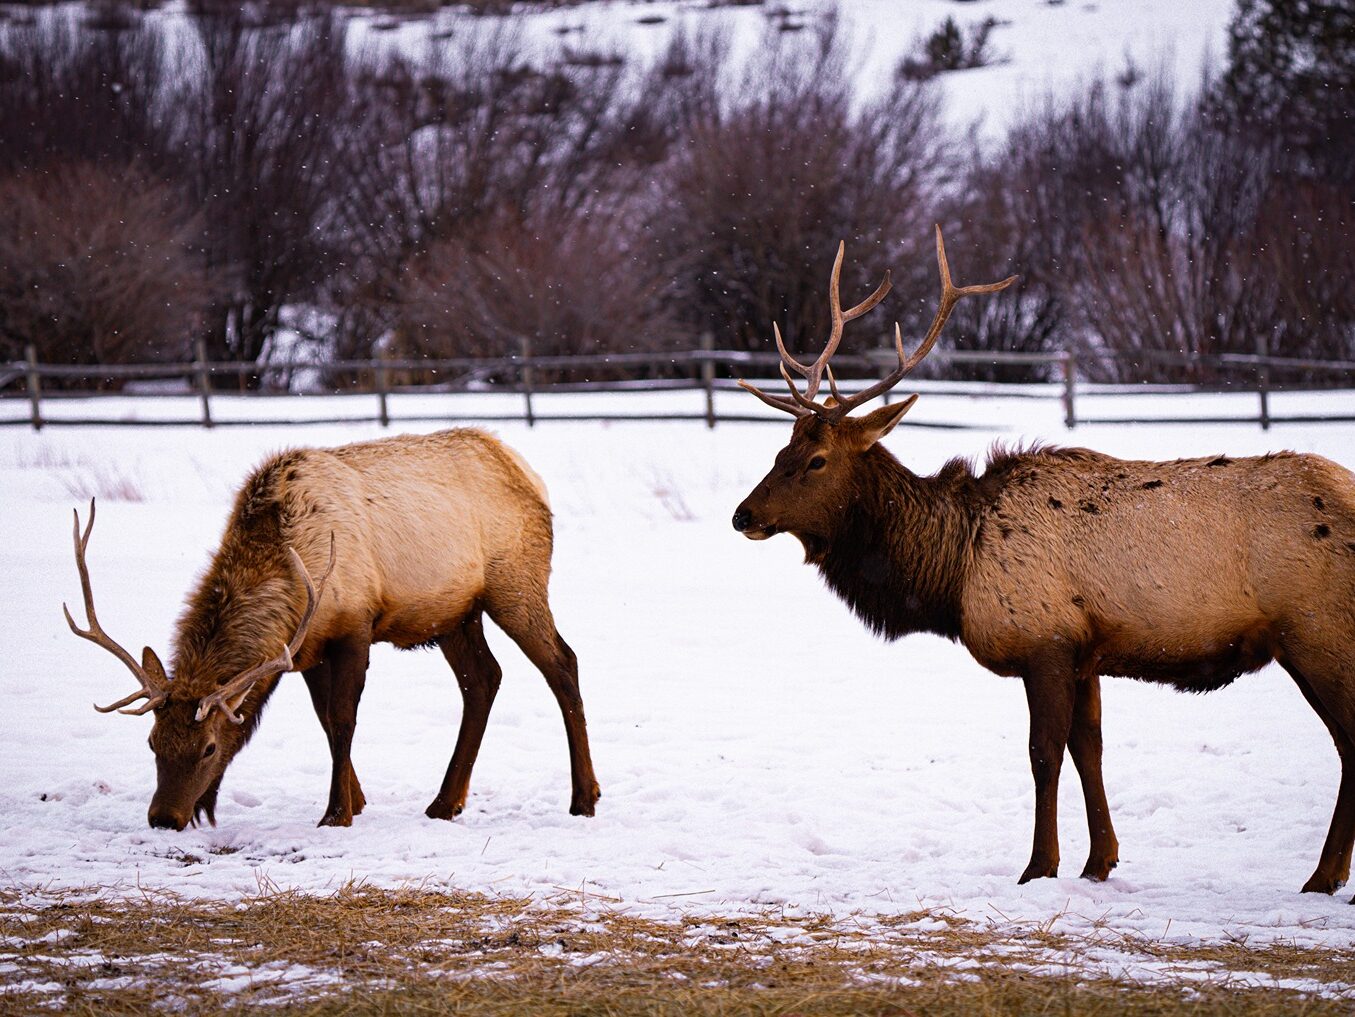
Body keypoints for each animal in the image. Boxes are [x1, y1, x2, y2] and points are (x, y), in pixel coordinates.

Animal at [64, 428, 600, 832]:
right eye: (153, 743)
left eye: (209, 747)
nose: (164, 817)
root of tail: (525, 469)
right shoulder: (306, 650)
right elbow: (323, 719)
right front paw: (356, 799)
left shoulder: (354, 628)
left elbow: (343, 719)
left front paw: (336, 812)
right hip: (453, 614)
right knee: (484, 679)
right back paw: (445, 802)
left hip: (516, 583)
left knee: (562, 662)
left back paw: (584, 797)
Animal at [733, 227, 1355, 895]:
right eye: (782, 448)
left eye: (816, 459)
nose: (742, 514)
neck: (954, 571)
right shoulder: (1086, 652)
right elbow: (1090, 750)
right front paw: (1100, 861)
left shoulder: (1045, 641)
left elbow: (1043, 754)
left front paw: (1039, 865)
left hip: (1315, 631)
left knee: (1351, 738)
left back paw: (1322, 877)